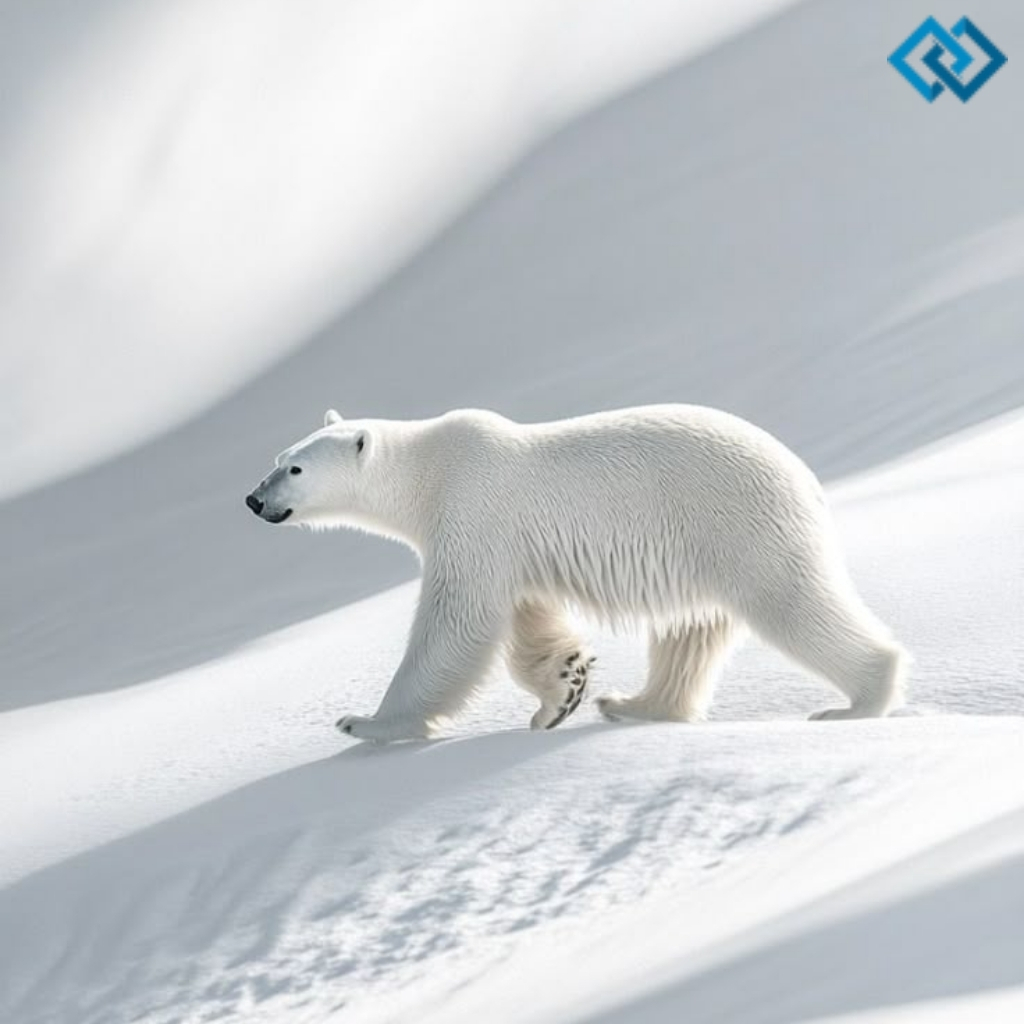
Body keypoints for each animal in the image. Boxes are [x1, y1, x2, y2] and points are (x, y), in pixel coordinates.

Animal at [246, 406, 907, 743]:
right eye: (277, 458)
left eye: (296, 469)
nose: (254, 499)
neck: (429, 473)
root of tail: (806, 477)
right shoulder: (514, 548)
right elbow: (527, 619)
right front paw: (565, 691)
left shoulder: (473, 513)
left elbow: (457, 622)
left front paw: (368, 721)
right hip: (702, 551)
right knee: (689, 634)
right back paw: (636, 705)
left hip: (737, 525)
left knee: (792, 604)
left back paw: (858, 704)